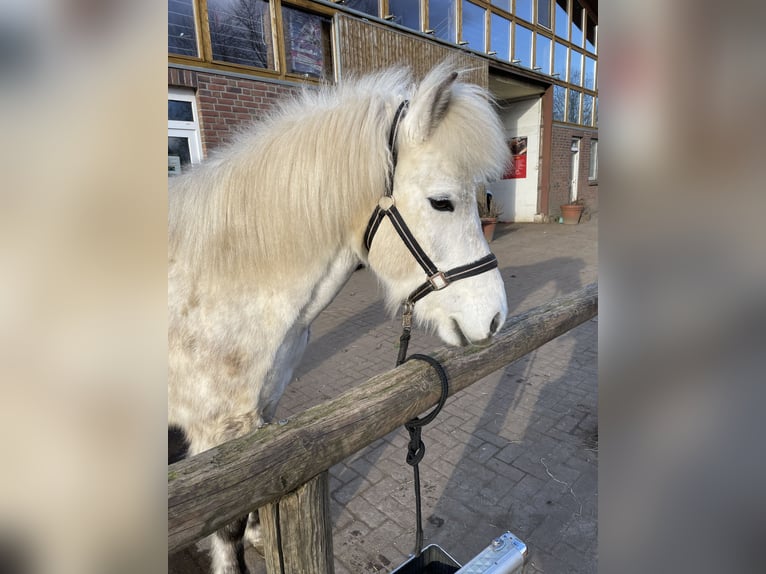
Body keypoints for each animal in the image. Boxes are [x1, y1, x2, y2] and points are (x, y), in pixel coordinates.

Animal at [168, 61, 510, 573]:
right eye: (442, 201)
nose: (494, 317)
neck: (224, 275)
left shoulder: (261, 412)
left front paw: (261, 534)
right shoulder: (216, 434)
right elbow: (226, 532)